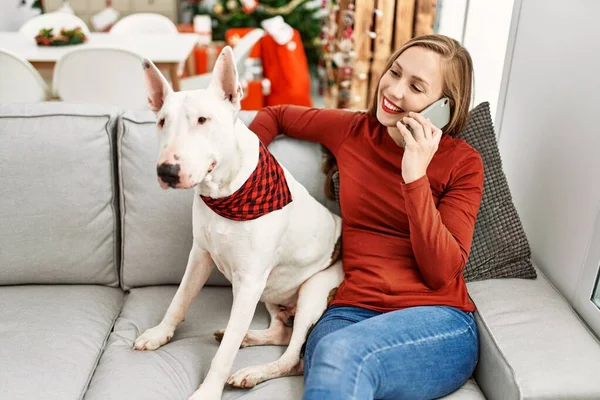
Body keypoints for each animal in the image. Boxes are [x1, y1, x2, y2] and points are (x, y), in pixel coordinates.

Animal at [134, 45, 344, 398]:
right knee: (279, 333)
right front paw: (160, 333)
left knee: (294, 357)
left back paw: (253, 371)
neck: (224, 195)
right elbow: (179, 299)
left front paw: (207, 391)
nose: (167, 171)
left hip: (312, 290)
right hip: (272, 293)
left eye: (202, 120)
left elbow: (224, 354)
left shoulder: (249, 281)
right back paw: (249, 339)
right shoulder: (200, 256)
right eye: (162, 121)